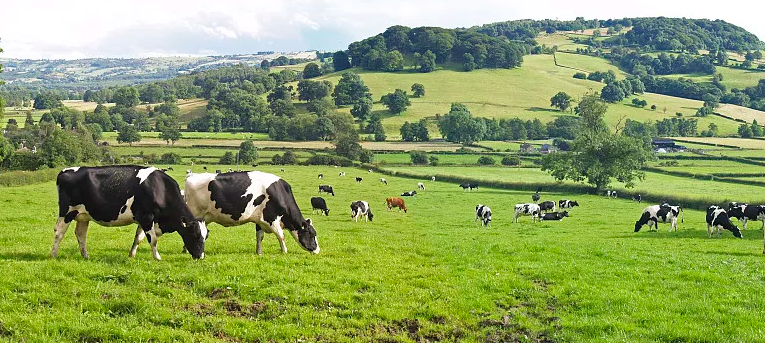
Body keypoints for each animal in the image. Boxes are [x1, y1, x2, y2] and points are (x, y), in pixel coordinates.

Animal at [51, 167, 207, 260]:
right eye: (195, 235)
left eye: (206, 236)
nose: (200, 256)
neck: (159, 188)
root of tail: (64, 171)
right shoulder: (146, 217)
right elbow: (153, 239)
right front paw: (157, 257)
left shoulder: (144, 219)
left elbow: (138, 238)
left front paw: (131, 255)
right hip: (67, 212)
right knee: (59, 232)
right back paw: (53, 254)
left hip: (83, 215)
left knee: (81, 234)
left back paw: (86, 256)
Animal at [184, 172, 320, 255]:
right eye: (312, 234)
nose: (318, 250)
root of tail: (191, 175)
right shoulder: (272, 218)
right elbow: (281, 236)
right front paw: (284, 251)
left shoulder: (260, 220)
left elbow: (260, 237)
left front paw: (259, 252)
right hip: (195, 214)